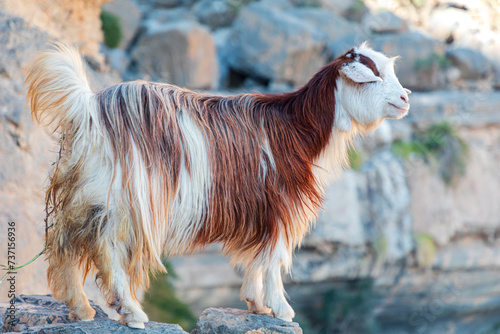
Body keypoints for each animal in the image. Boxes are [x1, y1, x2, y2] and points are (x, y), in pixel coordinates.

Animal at [25, 42, 410, 328]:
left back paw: (81, 308)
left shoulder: (263, 211)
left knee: (66, 244)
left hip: (84, 195)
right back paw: (131, 312)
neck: (295, 129)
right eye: (371, 78)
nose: (406, 97)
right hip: (125, 201)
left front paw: (257, 304)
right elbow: (275, 258)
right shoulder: (282, 206)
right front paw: (281, 309)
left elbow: (258, 258)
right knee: (107, 249)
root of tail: (89, 110)